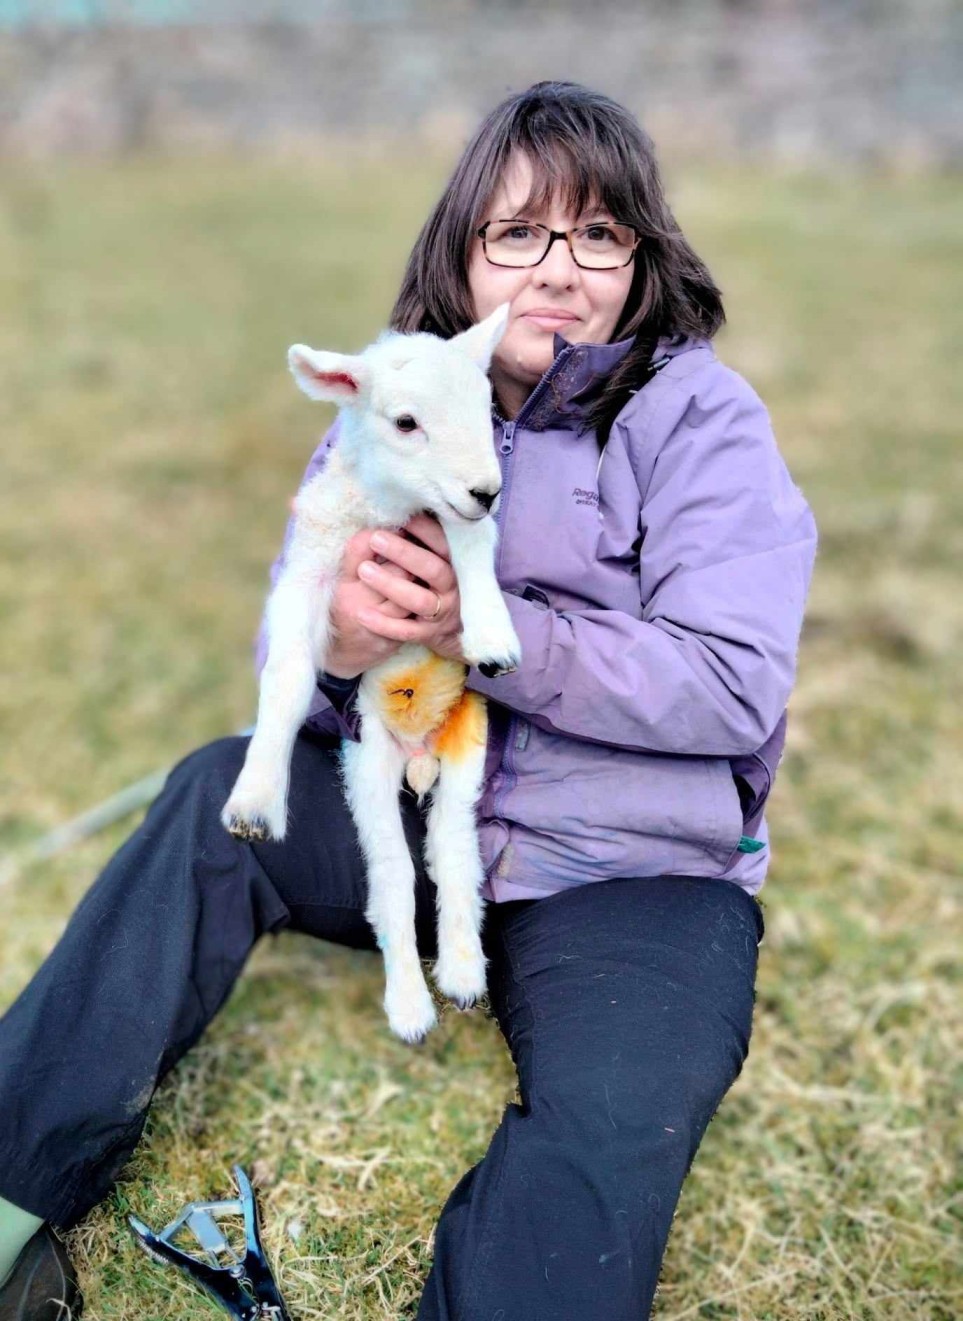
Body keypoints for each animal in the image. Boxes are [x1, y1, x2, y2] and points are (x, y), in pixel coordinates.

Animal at [219, 306, 517, 1040]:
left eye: (485, 409)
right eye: (406, 422)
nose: (487, 489)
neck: (389, 507)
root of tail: (417, 756)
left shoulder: (451, 519)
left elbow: (473, 547)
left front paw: (493, 635)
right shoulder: (310, 565)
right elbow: (288, 675)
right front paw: (255, 804)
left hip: (467, 746)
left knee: (453, 853)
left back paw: (461, 974)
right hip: (367, 764)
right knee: (391, 881)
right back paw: (411, 1004)